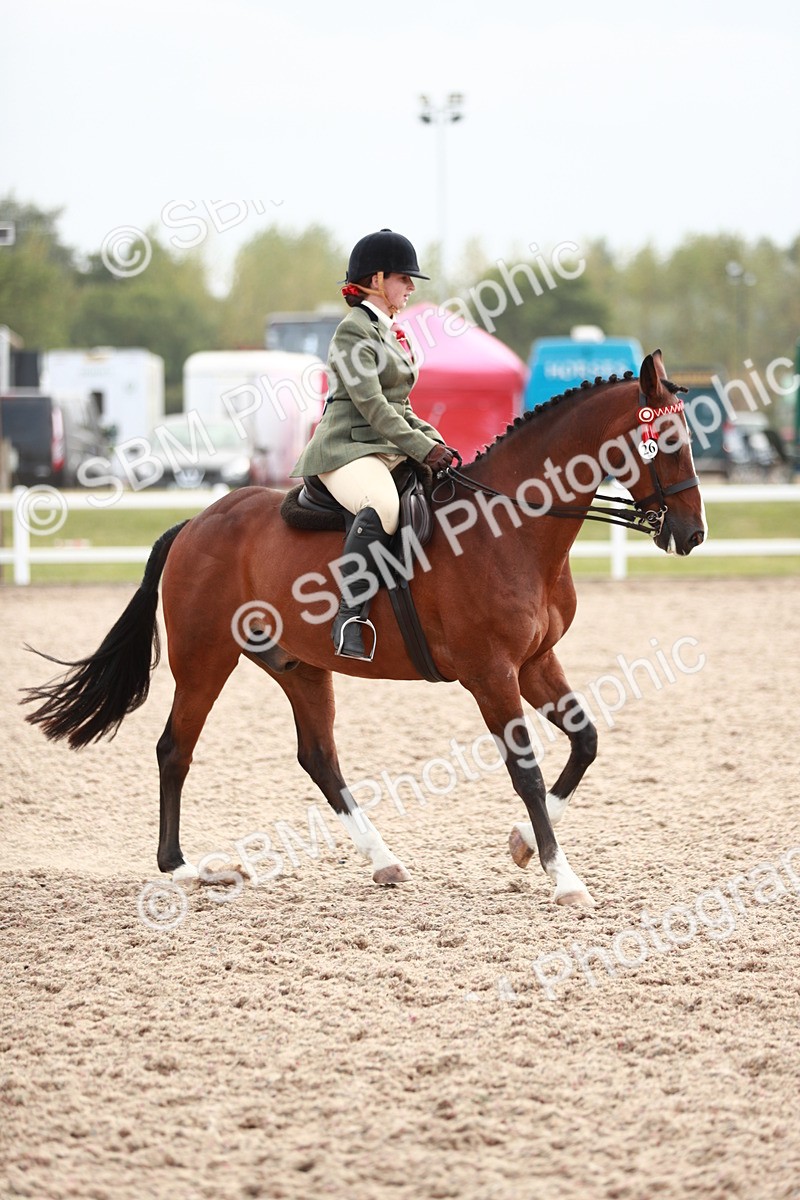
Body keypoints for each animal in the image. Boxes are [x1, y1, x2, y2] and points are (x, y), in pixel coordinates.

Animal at [22, 350, 706, 910]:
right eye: (667, 438)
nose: (692, 534)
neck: (510, 525)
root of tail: (196, 522)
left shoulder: (536, 662)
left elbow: (585, 742)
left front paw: (520, 846)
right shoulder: (491, 674)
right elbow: (527, 772)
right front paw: (563, 879)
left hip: (298, 666)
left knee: (319, 758)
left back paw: (385, 861)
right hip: (205, 658)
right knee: (175, 750)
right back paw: (185, 869)